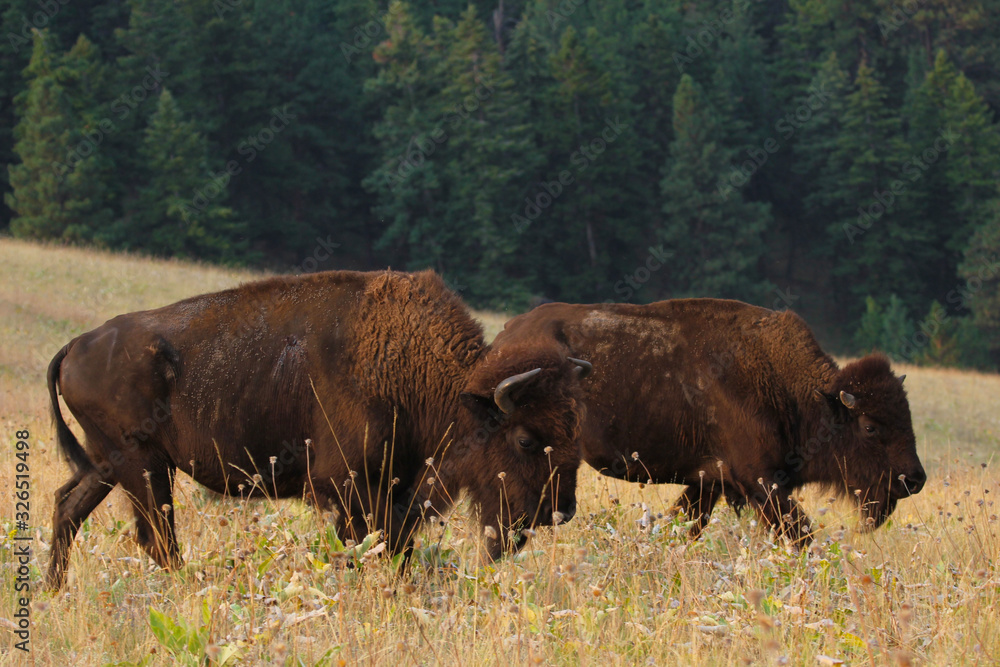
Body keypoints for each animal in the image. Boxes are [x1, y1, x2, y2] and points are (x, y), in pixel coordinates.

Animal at [47, 272, 588, 588]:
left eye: (573, 435)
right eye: (525, 439)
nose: (558, 512)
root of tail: (77, 345)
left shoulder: (396, 490)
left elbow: (397, 548)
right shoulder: (346, 486)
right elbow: (369, 547)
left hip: (108, 463)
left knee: (69, 506)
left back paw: (52, 590)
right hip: (142, 464)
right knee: (158, 538)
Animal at [496, 300, 924, 544]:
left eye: (905, 415)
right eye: (870, 426)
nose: (914, 479)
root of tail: (507, 335)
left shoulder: (708, 483)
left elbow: (684, 526)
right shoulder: (761, 482)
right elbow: (800, 534)